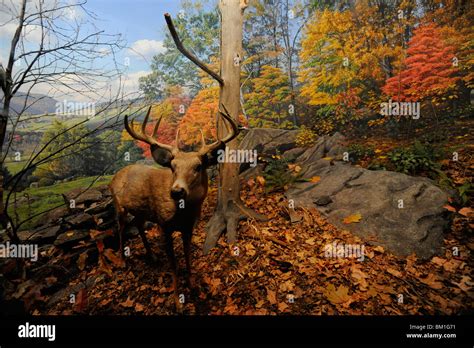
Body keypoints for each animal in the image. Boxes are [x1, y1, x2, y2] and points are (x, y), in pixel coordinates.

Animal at [109, 105, 239, 308]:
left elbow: (187, 256)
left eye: (198, 166)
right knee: (121, 229)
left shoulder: (189, 227)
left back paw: (152, 257)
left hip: (141, 211)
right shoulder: (164, 225)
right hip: (119, 206)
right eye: (172, 166)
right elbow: (174, 265)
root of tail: (115, 176)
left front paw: (193, 286)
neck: (181, 214)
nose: (177, 191)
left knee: (138, 225)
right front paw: (178, 300)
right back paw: (122, 261)